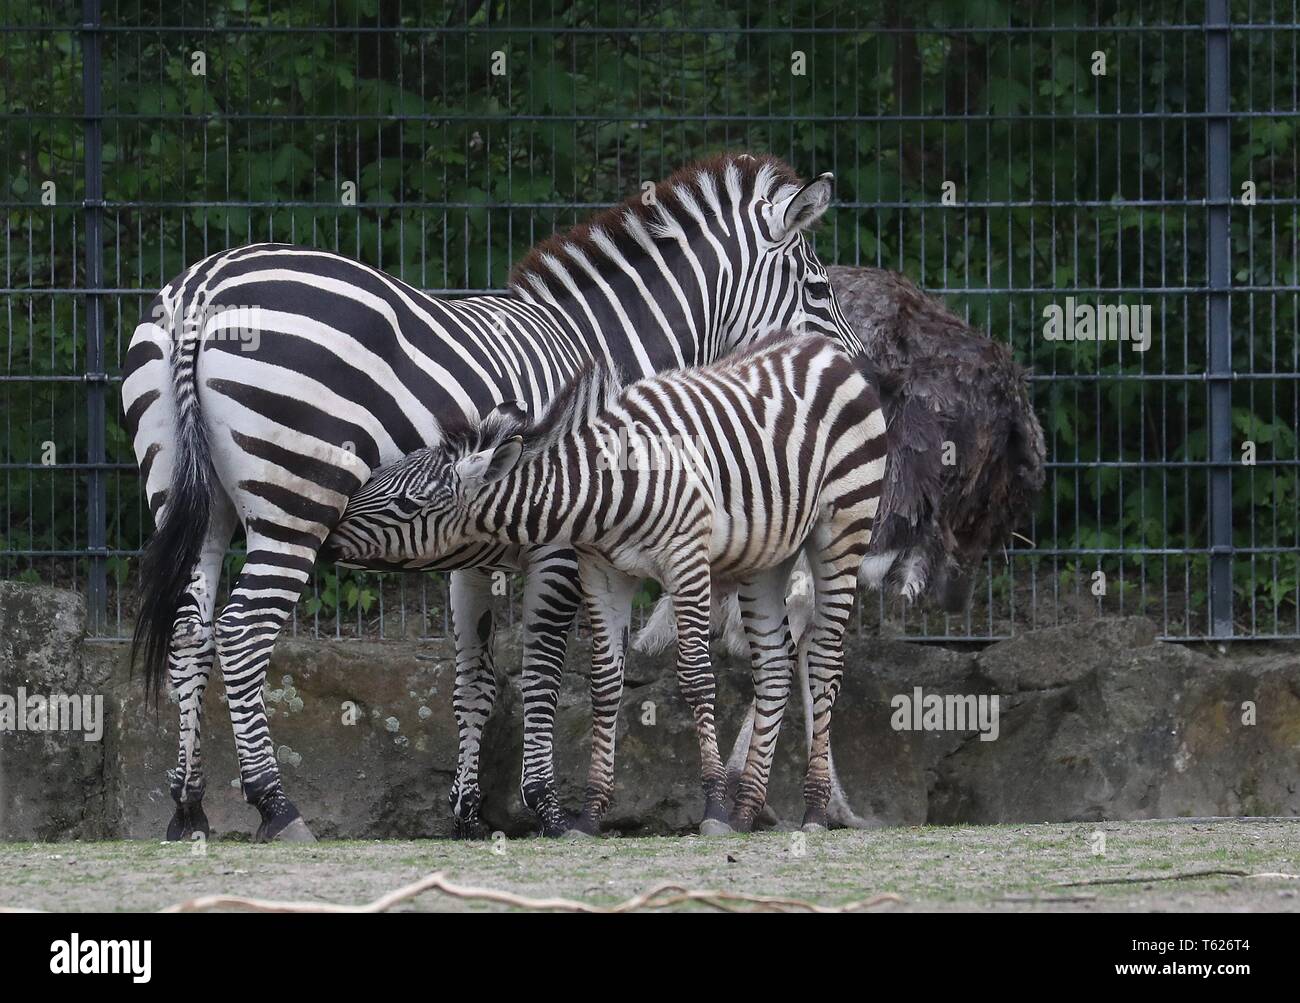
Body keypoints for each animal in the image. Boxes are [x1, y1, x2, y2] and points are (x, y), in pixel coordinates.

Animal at [330, 332, 889, 836]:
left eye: (409, 503)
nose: (328, 537)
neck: (608, 486)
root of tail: (821, 347)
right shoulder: (601, 574)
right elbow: (604, 685)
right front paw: (591, 813)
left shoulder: (686, 559)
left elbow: (695, 676)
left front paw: (711, 806)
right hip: (767, 553)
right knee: (774, 665)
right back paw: (749, 811)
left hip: (842, 530)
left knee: (823, 659)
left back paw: (813, 810)